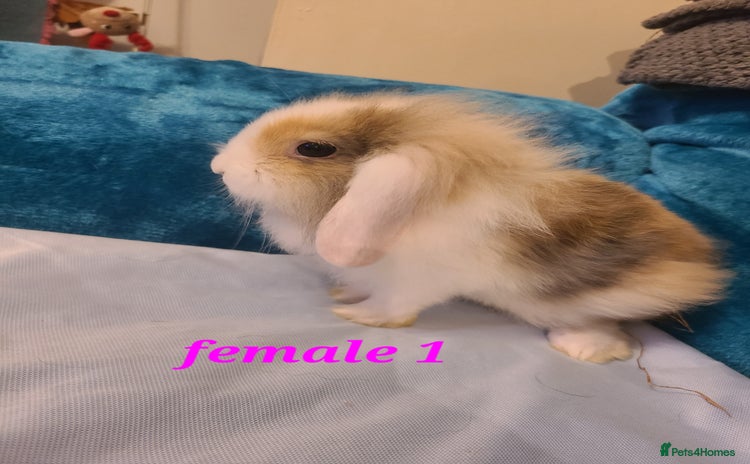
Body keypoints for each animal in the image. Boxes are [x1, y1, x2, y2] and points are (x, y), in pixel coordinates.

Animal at [210, 92, 731, 363]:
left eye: (313, 149)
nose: (219, 165)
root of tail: (700, 263)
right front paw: (346, 294)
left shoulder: (416, 283)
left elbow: (394, 309)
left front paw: (358, 316)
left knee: (613, 331)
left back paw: (579, 348)